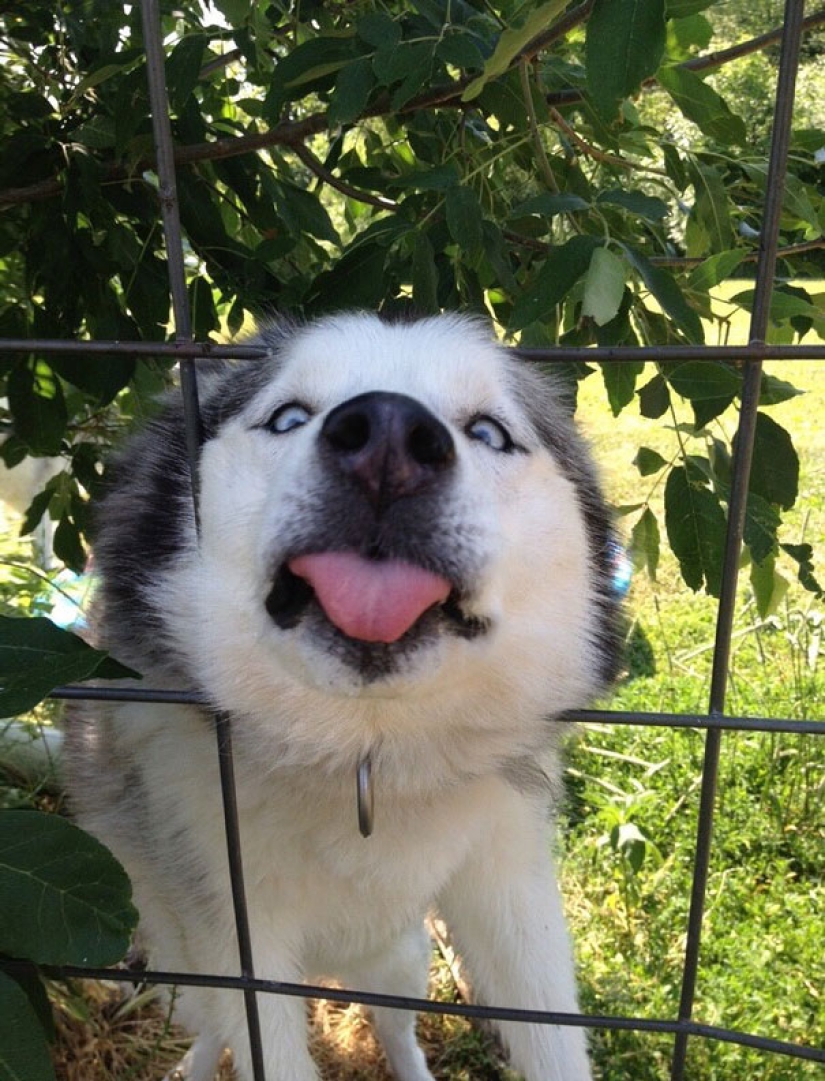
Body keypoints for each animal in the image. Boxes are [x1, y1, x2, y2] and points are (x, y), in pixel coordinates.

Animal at [62, 315, 618, 1081]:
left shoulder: (512, 887)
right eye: (288, 417)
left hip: (400, 957)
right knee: (212, 1027)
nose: (387, 438)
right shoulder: (237, 941)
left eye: (488, 431)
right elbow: (256, 1037)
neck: (365, 762)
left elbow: (551, 1031)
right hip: (186, 964)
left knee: (394, 1026)